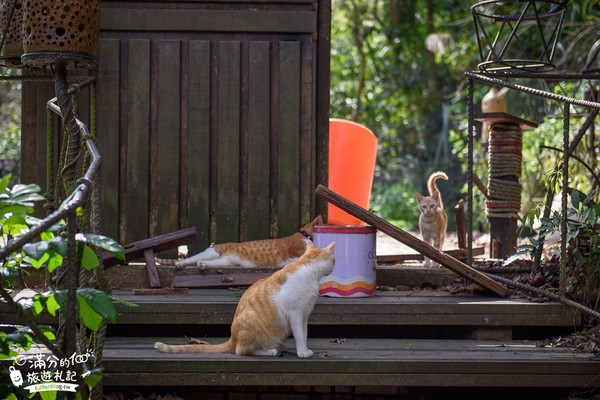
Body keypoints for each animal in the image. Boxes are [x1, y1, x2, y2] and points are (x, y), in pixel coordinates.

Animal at [152, 242, 336, 358]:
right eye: (334, 260)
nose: (335, 266)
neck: (309, 271)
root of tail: (232, 340)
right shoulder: (295, 314)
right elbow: (299, 335)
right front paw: (302, 352)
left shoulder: (304, 315)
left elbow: (304, 334)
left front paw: (304, 348)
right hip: (251, 325)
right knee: (242, 351)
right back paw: (269, 351)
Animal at [156, 216, 324, 268]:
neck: (303, 234)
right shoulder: (300, 250)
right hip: (214, 251)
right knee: (193, 258)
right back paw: (181, 263)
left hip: (226, 261)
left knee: (207, 262)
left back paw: (203, 265)